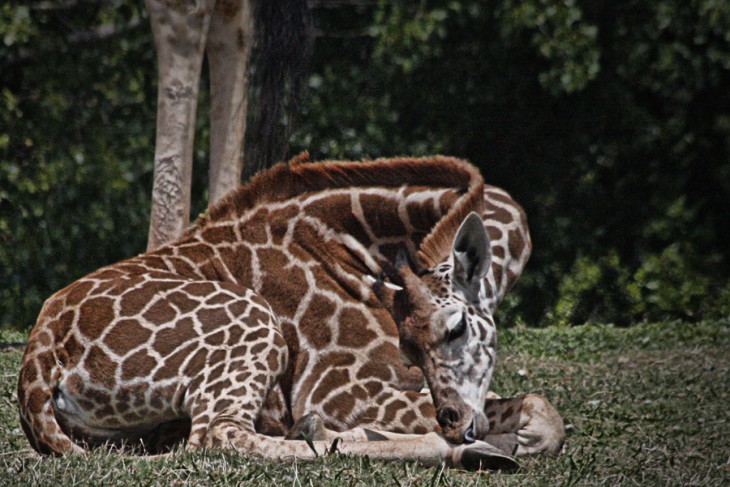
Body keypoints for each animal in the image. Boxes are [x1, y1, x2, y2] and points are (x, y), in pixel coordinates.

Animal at [17, 156, 564, 468]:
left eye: (454, 330)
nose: (454, 421)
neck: (355, 246)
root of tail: (40, 362)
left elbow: (539, 415)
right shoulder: (333, 386)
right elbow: (540, 414)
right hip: (253, 321)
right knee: (220, 436)